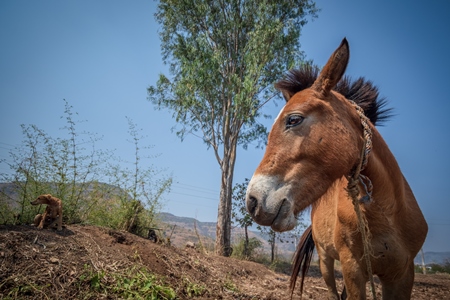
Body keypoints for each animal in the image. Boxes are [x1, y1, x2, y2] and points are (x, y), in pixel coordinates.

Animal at [246, 38, 428, 298]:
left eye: (293, 119)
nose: (252, 202)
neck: (388, 214)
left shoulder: (402, 275)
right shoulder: (353, 269)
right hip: (326, 262)